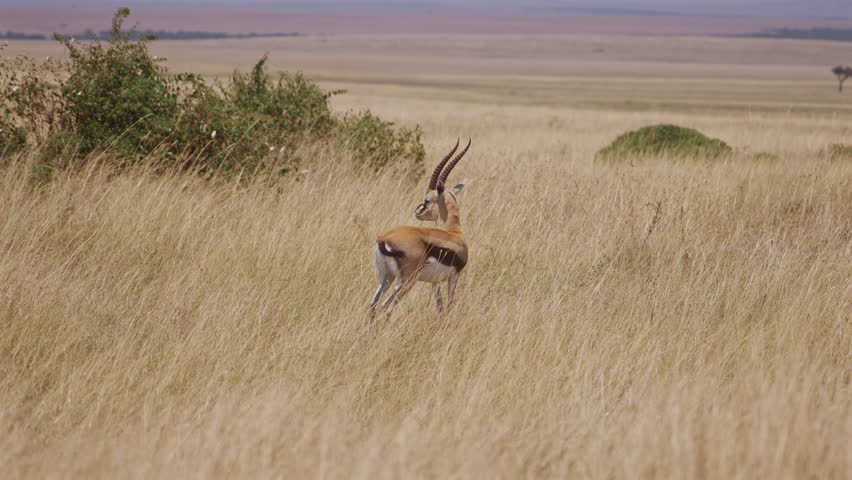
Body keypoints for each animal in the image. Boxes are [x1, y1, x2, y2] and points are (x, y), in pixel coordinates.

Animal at [369, 139, 471, 317]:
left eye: (427, 200)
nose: (417, 211)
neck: (454, 232)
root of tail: (384, 240)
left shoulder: (435, 282)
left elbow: (440, 307)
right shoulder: (454, 276)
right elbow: (449, 305)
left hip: (386, 277)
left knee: (373, 305)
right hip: (406, 281)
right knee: (386, 306)